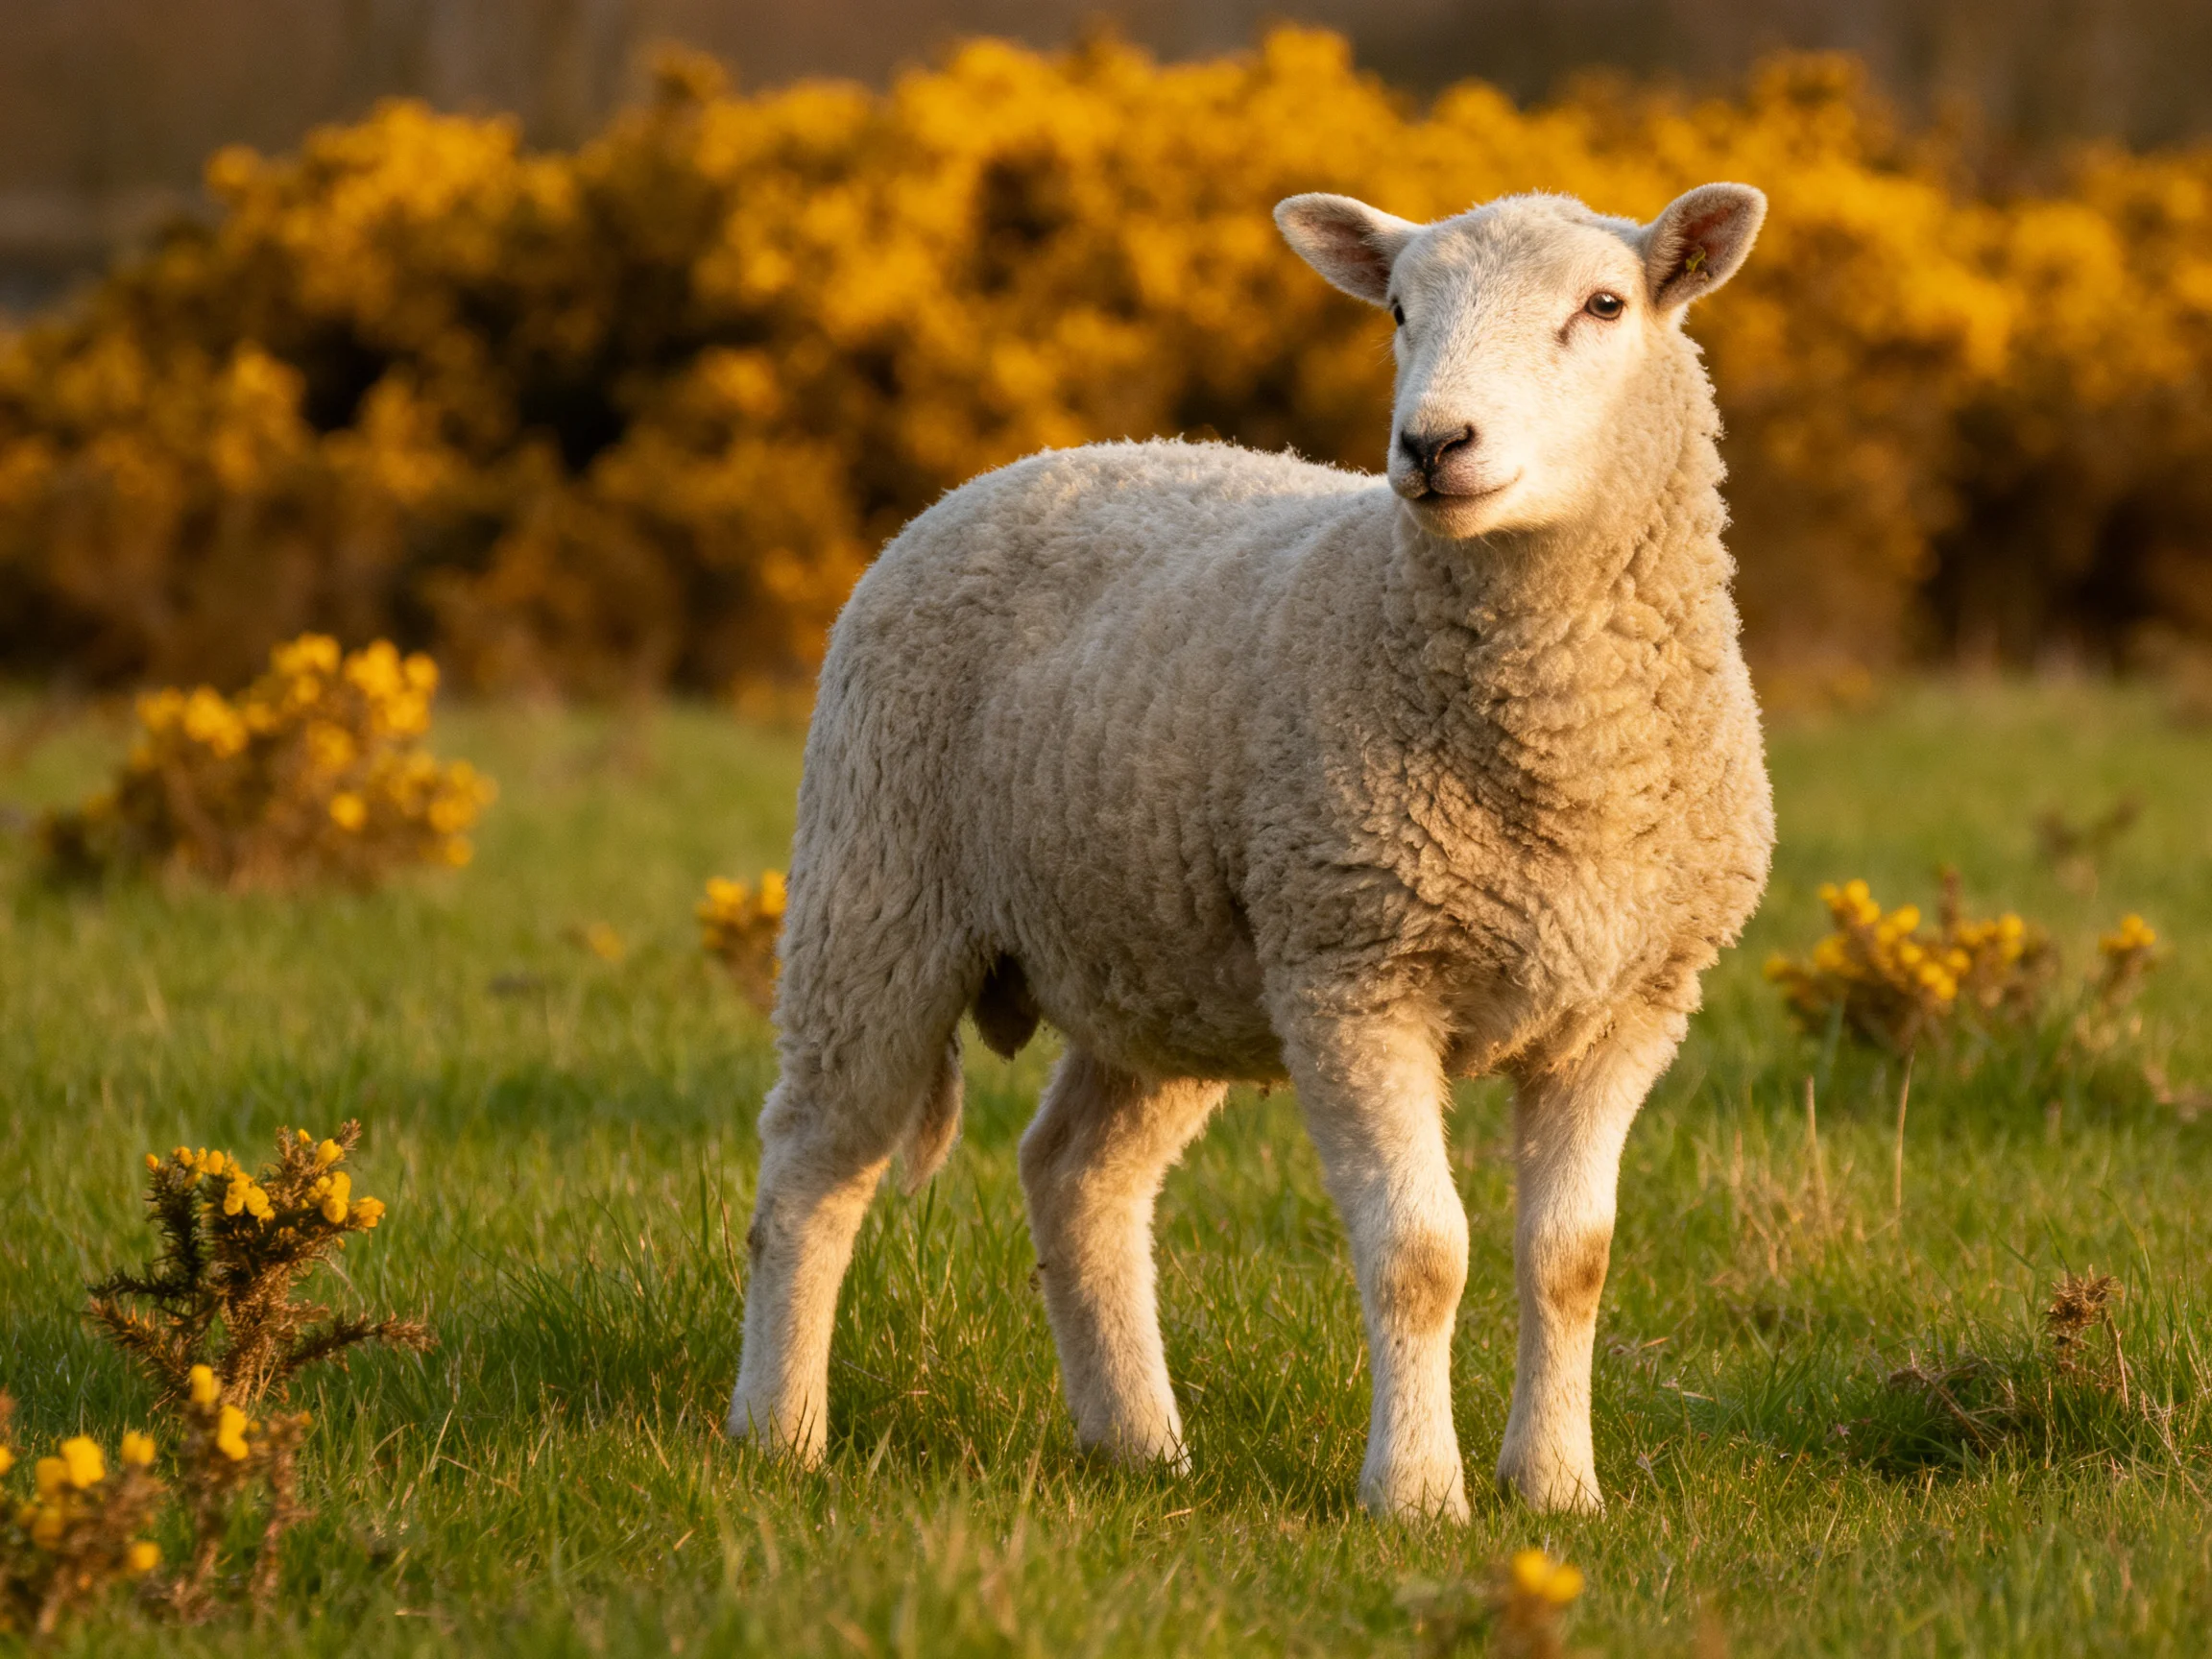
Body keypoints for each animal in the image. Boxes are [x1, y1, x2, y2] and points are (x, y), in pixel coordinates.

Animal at [728, 181, 1776, 1519]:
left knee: (1077, 1176)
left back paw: (1138, 1442)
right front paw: (1418, 1496)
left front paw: (1556, 1490)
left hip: (1152, 963)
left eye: (1603, 306)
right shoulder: (1355, 978)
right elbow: (1422, 1255)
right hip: (877, 881)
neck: (1558, 761)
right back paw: (780, 1434)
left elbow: (1570, 1261)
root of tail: (1027, 466)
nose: (1433, 445)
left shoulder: (1629, 1006)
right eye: (1398, 309)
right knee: (813, 1166)